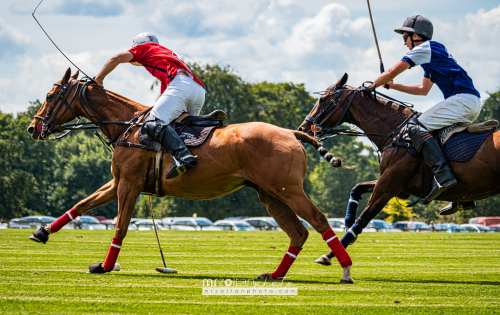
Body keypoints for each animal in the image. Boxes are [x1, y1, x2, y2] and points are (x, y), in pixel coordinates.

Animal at [27, 68, 354, 282]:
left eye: (51, 95)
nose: (33, 128)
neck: (127, 125)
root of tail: (290, 133)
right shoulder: (120, 181)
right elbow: (82, 204)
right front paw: (42, 232)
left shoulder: (129, 185)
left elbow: (119, 226)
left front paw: (105, 266)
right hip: (270, 194)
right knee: (298, 232)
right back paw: (274, 275)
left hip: (288, 189)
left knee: (318, 221)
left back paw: (346, 270)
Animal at [296, 74, 500, 256]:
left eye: (323, 99)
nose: (302, 129)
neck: (395, 134)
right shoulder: (400, 187)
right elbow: (357, 188)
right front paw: (346, 223)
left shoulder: (389, 185)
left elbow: (364, 218)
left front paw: (330, 254)